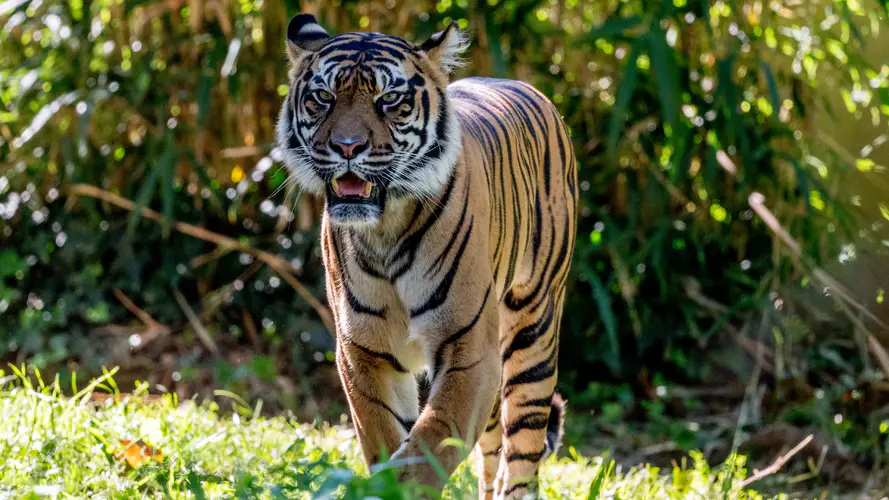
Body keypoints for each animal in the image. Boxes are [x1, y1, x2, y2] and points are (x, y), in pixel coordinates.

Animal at [278, 13, 580, 498]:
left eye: (389, 99)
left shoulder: (469, 351)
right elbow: (387, 437)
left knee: (522, 454)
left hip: (532, 330)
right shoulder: (364, 352)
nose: (347, 147)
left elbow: (430, 443)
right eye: (323, 97)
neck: (385, 230)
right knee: (491, 455)